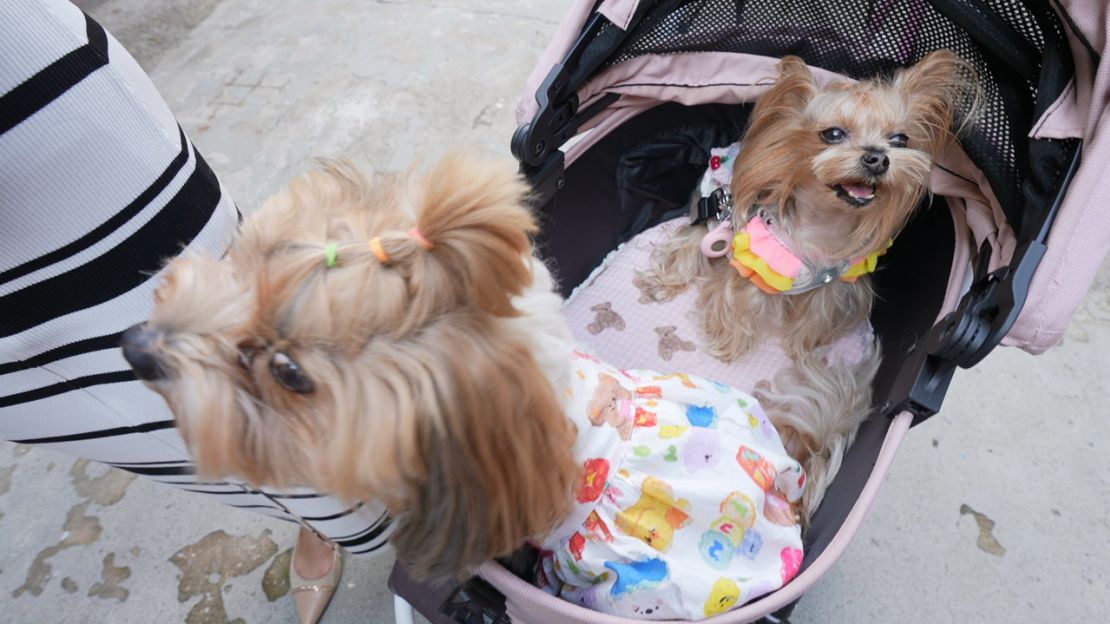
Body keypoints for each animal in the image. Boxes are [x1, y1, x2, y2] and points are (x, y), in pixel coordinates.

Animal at [639, 48, 976, 515]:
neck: (822, 229)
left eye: (900, 139)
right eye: (832, 133)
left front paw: (797, 344)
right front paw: (725, 343)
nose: (878, 158)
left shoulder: (836, 280)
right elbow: (736, 297)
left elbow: (813, 314)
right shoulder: (747, 253)